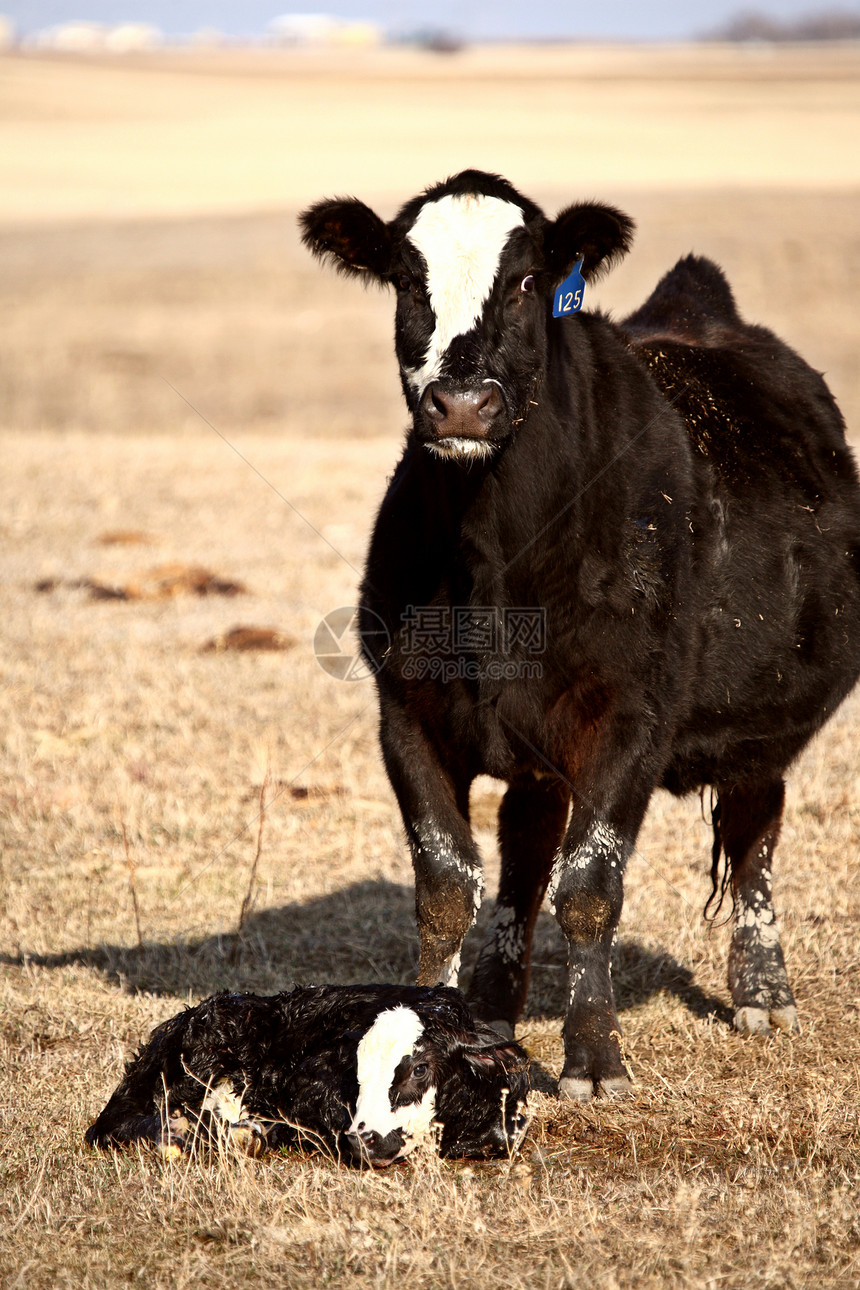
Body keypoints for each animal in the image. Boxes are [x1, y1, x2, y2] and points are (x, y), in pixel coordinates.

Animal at [301, 168, 860, 1099]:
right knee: (526, 849)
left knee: (754, 832)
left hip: (765, 724)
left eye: (529, 280)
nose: (463, 404)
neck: (494, 563)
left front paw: (595, 1060)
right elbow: (448, 886)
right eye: (407, 279)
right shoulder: (406, 713)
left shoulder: (631, 719)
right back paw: (493, 1004)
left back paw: (762, 992)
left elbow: (590, 887)